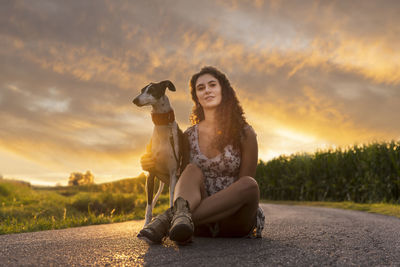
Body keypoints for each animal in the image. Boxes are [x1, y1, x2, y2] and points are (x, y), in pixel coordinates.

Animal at [132, 80, 184, 227]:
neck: (163, 126)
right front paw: (145, 225)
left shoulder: (173, 173)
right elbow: (148, 207)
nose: (135, 100)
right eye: (142, 90)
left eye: (152, 90)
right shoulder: (151, 174)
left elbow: (172, 201)